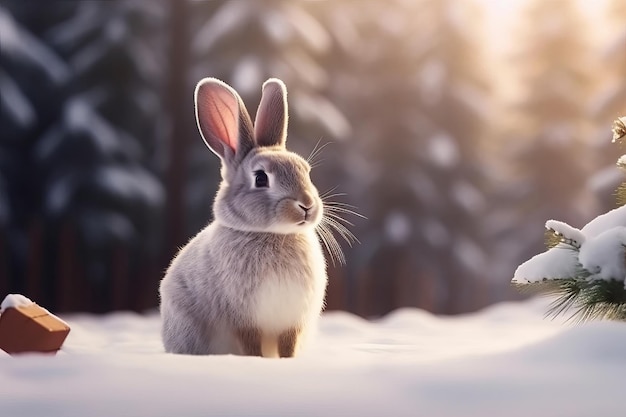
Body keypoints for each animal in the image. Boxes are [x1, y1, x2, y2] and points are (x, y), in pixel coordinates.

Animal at [158, 76, 330, 356]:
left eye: (306, 171)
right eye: (260, 178)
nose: (306, 205)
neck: (273, 235)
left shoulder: (291, 323)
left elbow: (288, 347)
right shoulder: (244, 321)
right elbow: (251, 346)